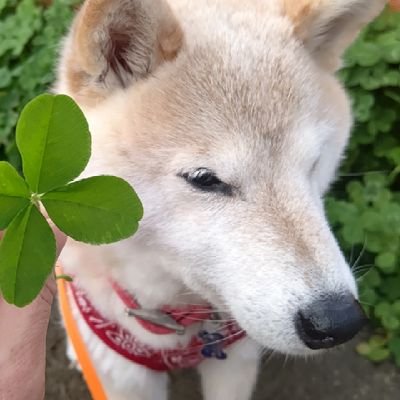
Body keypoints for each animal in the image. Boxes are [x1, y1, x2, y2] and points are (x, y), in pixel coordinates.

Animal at [54, 0, 386, 400]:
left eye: (314, 163)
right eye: (204, 180)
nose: (338, 320)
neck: (178, 323)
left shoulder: (235, 362)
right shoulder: (127, 377)